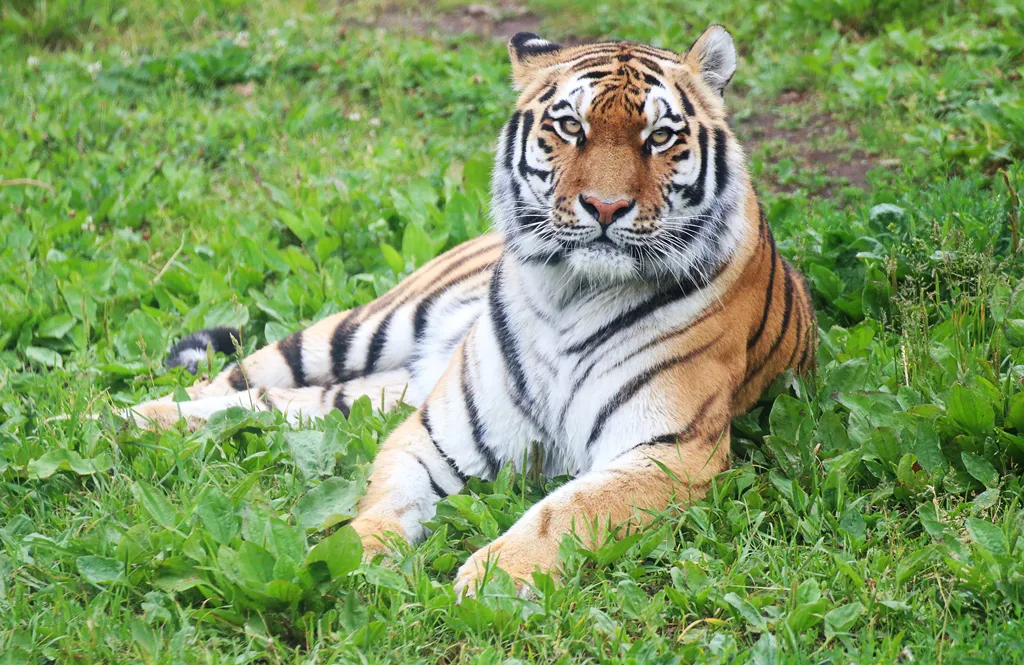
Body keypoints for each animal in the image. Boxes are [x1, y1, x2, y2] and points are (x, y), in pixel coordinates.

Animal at [128, 24, 815, 598]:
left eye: (661, 137)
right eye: (571, 128)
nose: (604, 206)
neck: (572, 294)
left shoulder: (670, 451)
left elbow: (569, 510)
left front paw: (494, 579)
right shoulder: (434, 434)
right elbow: (382, 504)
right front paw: (353, 558)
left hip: (370, 395)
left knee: (272, 406)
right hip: (367, 328)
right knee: (234, 380)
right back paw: (131, 415)